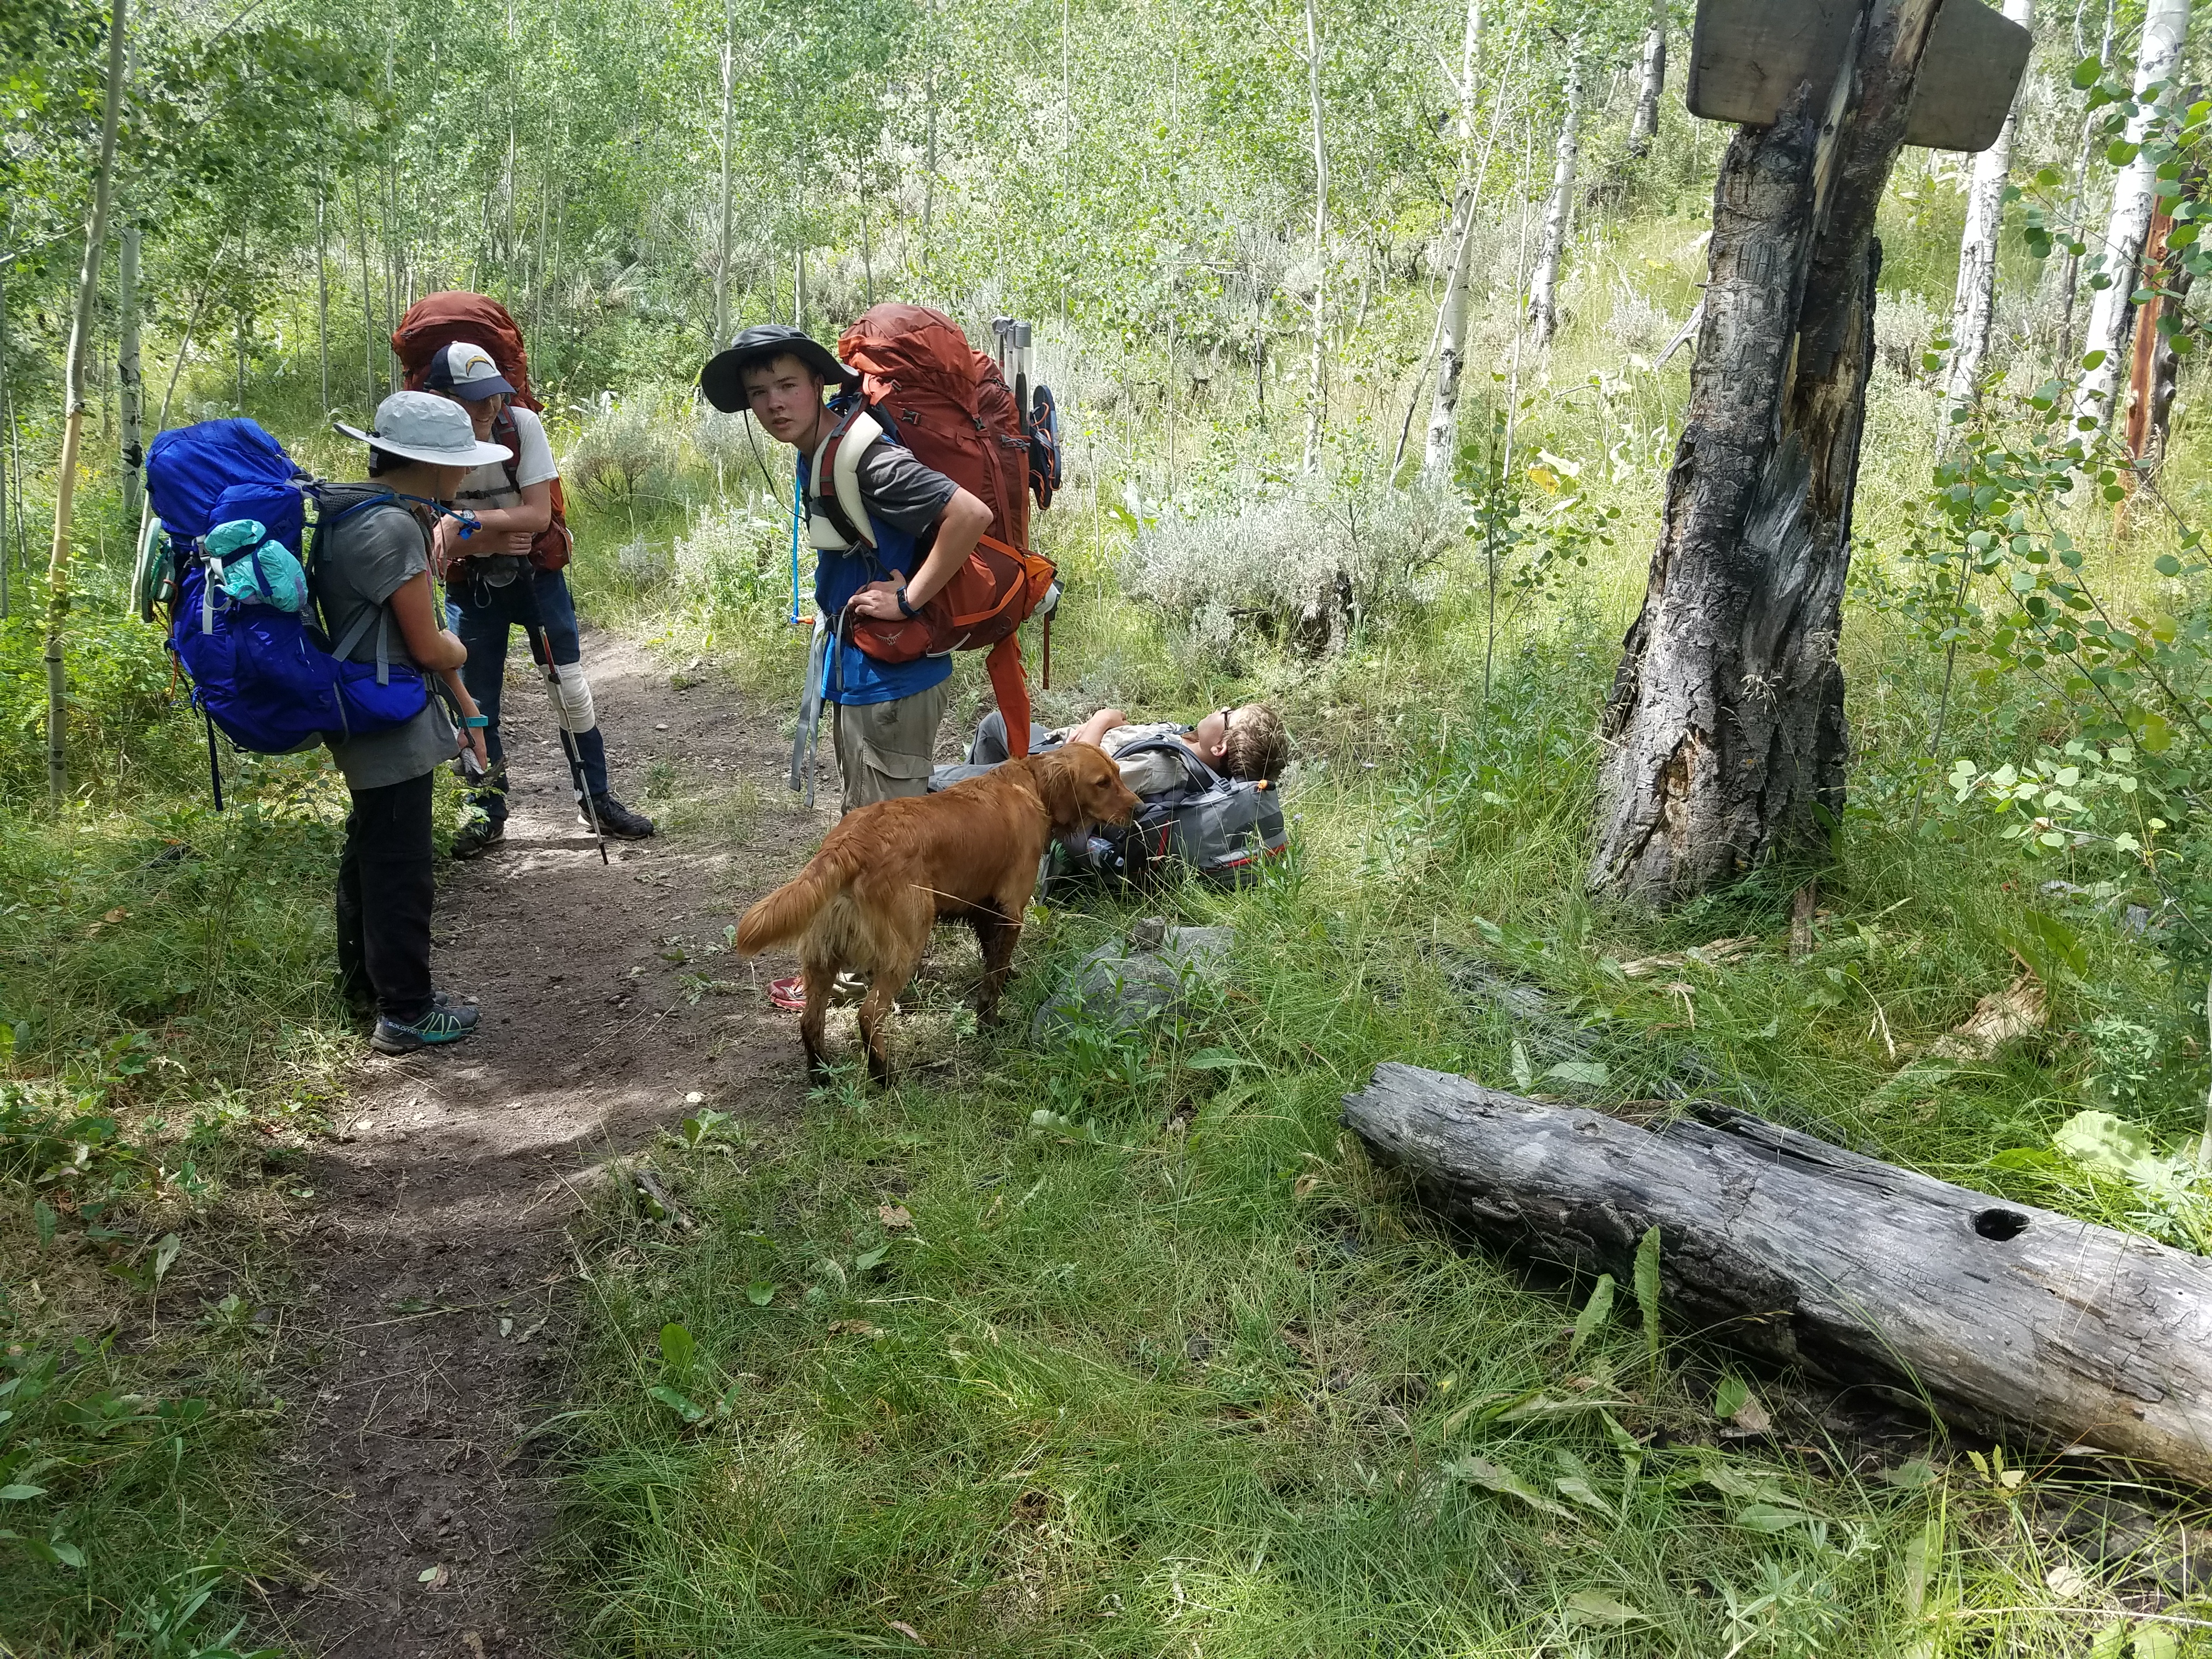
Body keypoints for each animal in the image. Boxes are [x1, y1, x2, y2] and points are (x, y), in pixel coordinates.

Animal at [738, 747, 1132, 1084]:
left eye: (1118, 774)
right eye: (1102, 783)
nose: (1139, 807)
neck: (1030, 783)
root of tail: (847, 843)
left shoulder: (984, 907)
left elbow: (994, 960)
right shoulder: (1011, 908)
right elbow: (992, 979)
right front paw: (989, 1023)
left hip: (824, 958)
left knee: (810, 1020)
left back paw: (821, 1074)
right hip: (906, 946)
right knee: (868, 1015)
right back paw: (883, 1075)